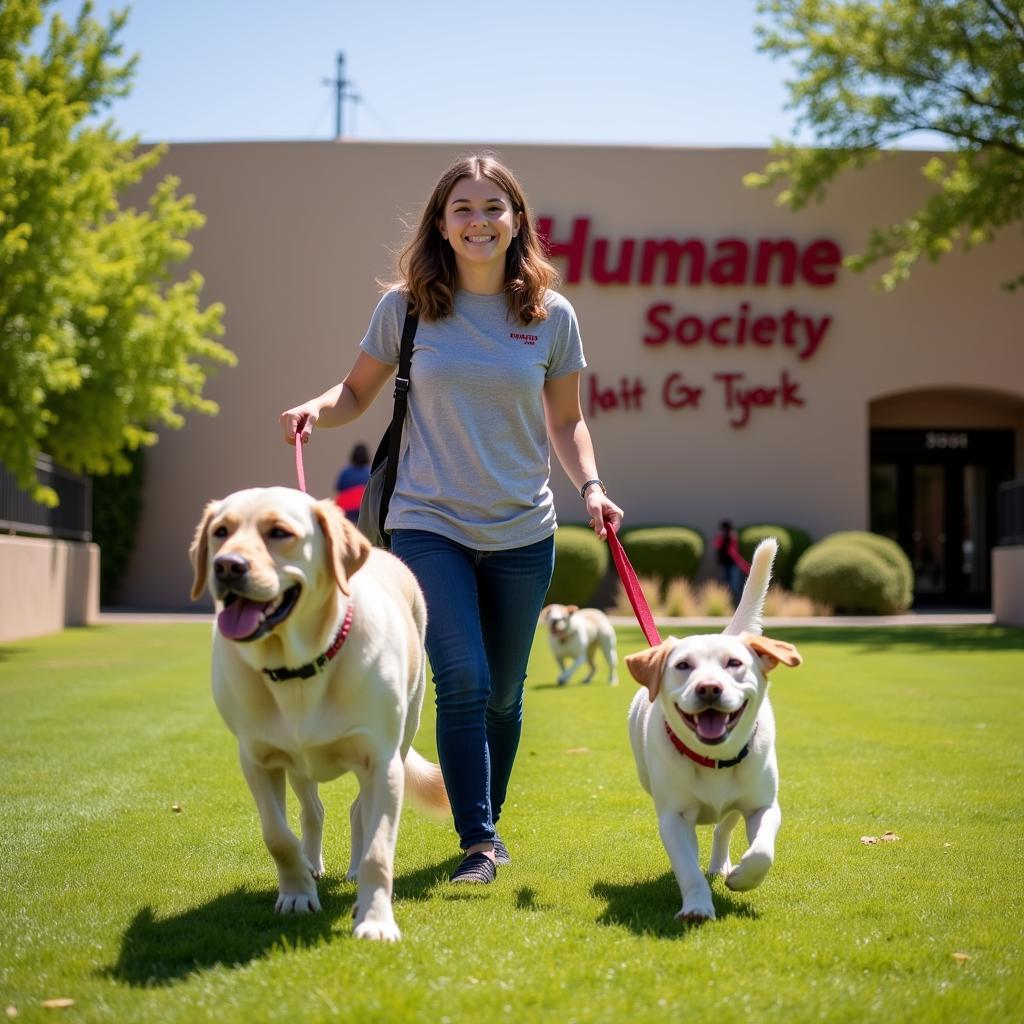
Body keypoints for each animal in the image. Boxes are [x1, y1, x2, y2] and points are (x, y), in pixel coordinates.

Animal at [190, 487, 446, 942]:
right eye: (221, 531)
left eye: (279, 532)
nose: (227, 565)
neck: (298, 666)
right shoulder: (257, 759)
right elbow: (277, 835)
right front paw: (296, 895)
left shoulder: (381, 761)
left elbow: (380, 849)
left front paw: (375, 920)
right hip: (298, 764)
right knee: (313, 810)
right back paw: (311, 864)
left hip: (403, 736)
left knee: (359, 810)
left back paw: (353, 871)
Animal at [622, 540, 798, 925]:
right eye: (683, 665)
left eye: (734, 663)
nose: (708, 689)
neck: (712, 758)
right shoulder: (672, 817)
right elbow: (687, 865)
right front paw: (697, 906)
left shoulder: (762, 805)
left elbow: (762, 852)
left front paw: (742, 877)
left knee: (722, 827)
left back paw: (721, 865)